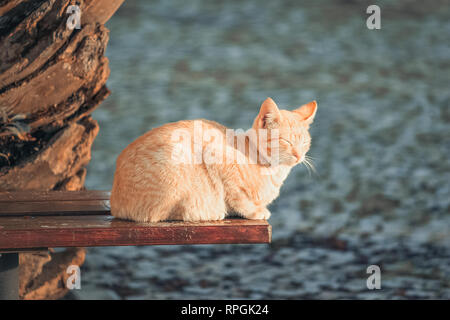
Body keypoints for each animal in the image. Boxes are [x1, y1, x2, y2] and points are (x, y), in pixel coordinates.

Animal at [110, 98, 318, 222]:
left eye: (304, 142)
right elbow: (237, 196)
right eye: (286, 141)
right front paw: (254, 211)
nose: (299, 155)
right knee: (159, 214)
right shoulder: (216, 155)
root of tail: (114, 203)